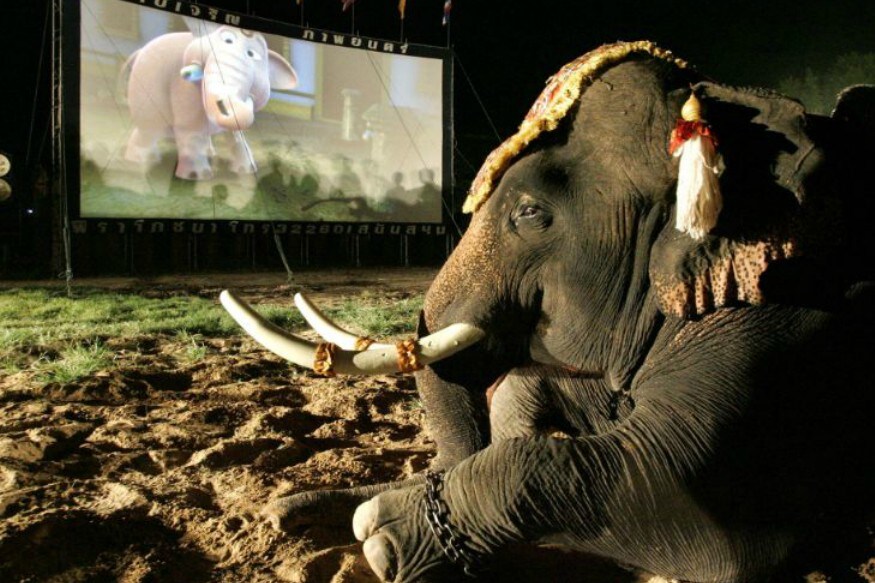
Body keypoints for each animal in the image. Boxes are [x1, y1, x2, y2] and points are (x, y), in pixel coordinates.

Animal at [123, 19, 298, 180]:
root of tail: (139, 51)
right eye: (228, 40)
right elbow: (190, 131)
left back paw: (208, 152)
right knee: (149, 129)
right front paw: (197, 177)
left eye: (251, 54)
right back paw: (139, 160)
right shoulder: (185, 92)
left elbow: (237, 135)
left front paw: (247, 170)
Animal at [220, 41, 875, 582]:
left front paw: (381, 534)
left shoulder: (790, 319)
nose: (274, 514)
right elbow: (540, 391)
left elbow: (686, 495)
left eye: (531, 213)